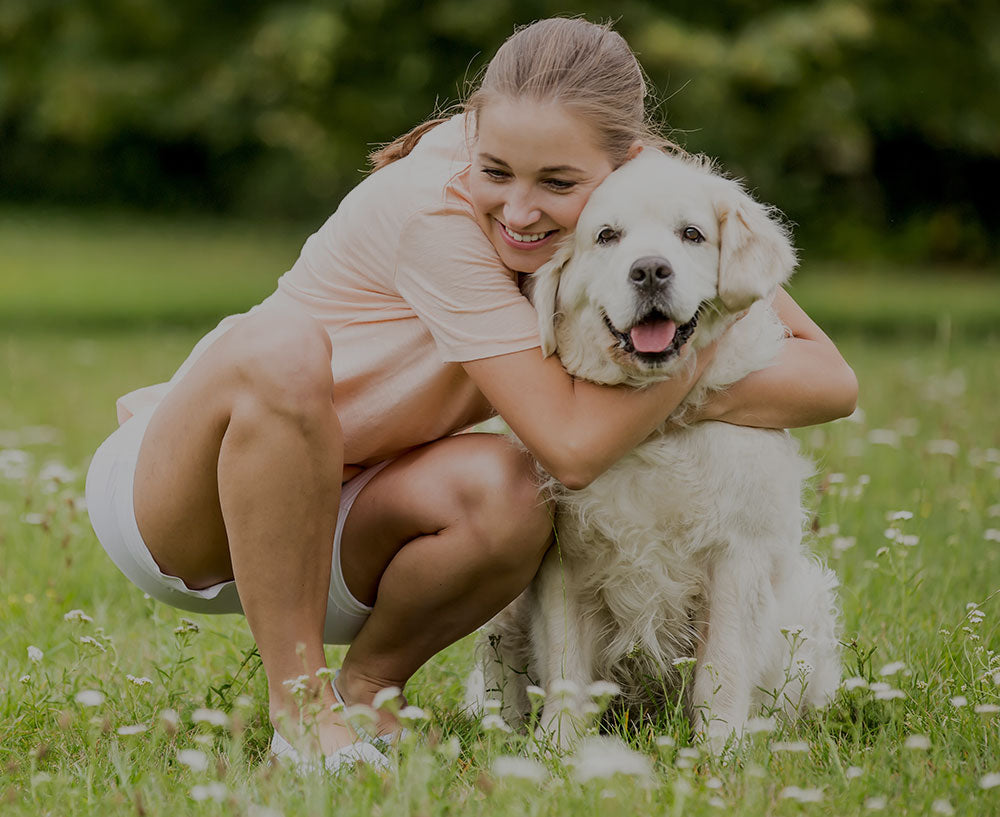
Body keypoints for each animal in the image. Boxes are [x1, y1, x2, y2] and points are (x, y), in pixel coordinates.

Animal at [472, 148, 840, 752]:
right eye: (606, 236)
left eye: (691, 234)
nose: (649, 270)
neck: (648, 426)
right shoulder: (563, 563)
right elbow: (567, 666)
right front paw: (556, 749)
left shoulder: (736, 558)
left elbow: (723, 666)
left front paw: (720, 751)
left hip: (805, 603)